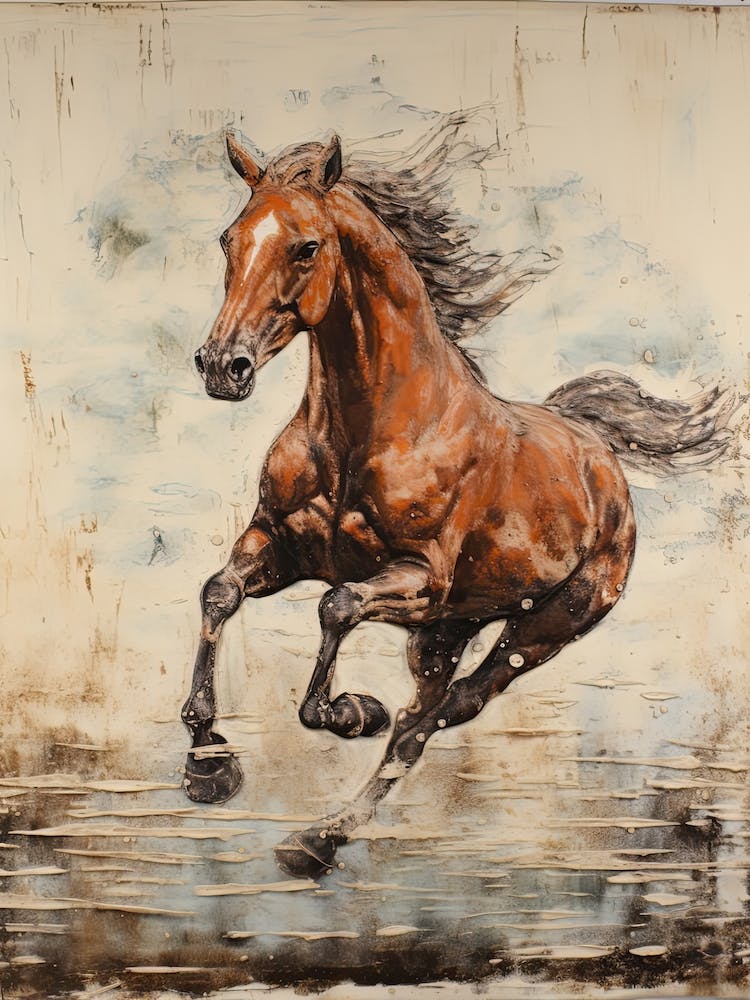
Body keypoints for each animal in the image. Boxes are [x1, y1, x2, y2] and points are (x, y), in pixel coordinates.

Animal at [182, 112, 734, 878]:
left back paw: (323, 830)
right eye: (228, 239)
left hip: (540, 629)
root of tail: (597, 451)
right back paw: (319, 833)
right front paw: (208, 763)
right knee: (428, 712)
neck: (367, 430)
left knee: (437, 717)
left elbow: (335, 607)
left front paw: (348, 710)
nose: (222, 366)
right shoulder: (279, 541)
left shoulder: (418, 578)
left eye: (306, 246)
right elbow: (218, 592)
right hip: (446, 632)